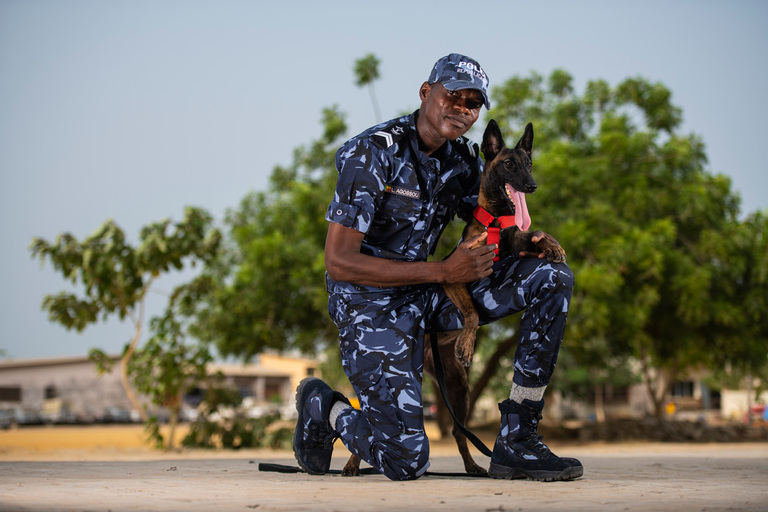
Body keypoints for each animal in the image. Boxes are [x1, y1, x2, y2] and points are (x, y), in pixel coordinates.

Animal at [342, 119, 564, 476]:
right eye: (508, 164)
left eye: (529, 163)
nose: (531, 185)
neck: (497, 221)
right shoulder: (456, 276)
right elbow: (471, 309)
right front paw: (468, 342)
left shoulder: (518, 245)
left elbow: (533, 237)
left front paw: (551, 244)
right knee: (374, 424)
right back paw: (351, 465)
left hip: (459, 391)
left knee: (459, 432)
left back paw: (473, 466)